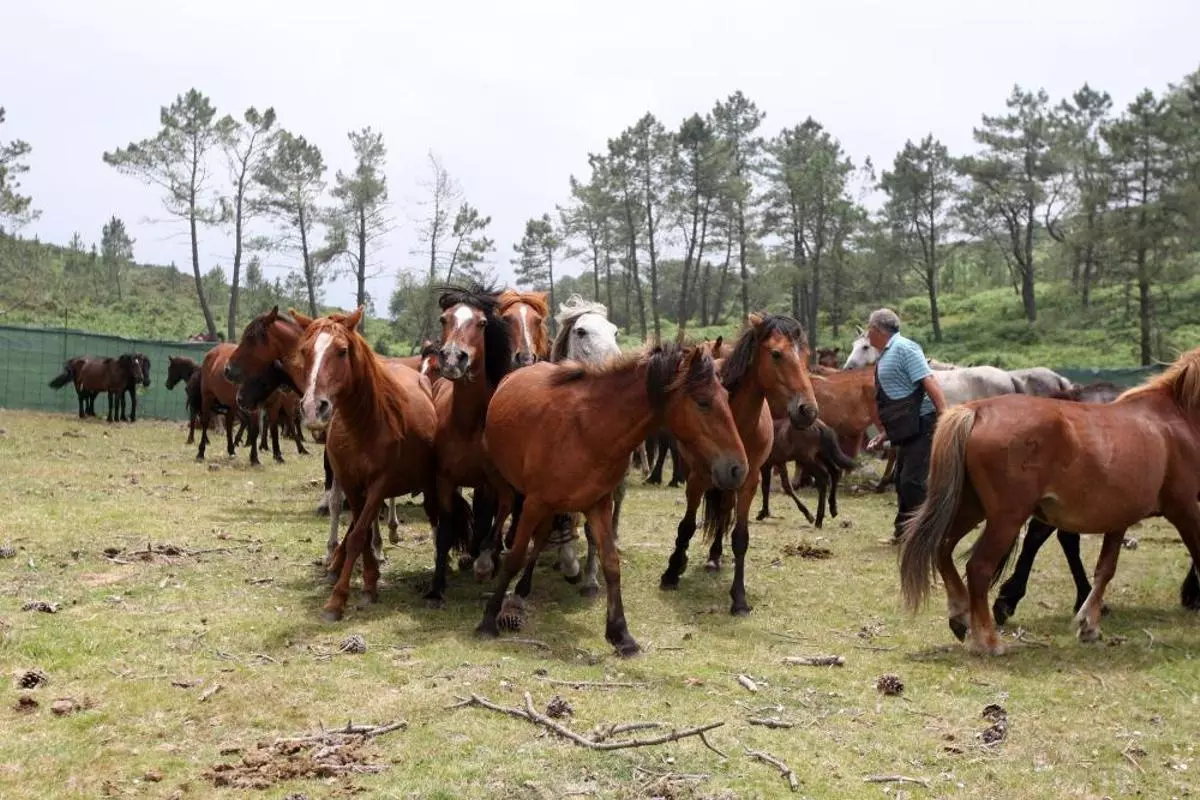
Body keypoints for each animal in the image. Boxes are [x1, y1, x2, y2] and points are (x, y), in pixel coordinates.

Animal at [284, 307, 438, 621]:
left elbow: (358, 535)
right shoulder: (351, 483)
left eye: (342, 351)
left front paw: (338, 599)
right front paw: (368, 581)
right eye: (305, 351)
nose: (313, 408)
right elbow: (361, 531)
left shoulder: (379, 483)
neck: (364, 425)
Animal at [476, 341, 749, 656]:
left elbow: (610, 563)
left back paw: (522, 590)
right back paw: (487, 564)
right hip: (506, 482)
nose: (738, 469)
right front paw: (488, 619)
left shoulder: (598, 504)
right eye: (703, 402)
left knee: (542, 535)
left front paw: (621, 633)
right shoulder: (535, 502)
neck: (588, 430)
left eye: (727, 397)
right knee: (507, 511)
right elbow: (515, 557)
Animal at [659, 313, 820, 615]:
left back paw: (715, 555)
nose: (808, 411)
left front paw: (739, 598)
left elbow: (740, 537)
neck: (736, 420)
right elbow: (686, 525)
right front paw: (672, 572)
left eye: (806, 356)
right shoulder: (698, 476)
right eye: (776, 354)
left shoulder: (749, 479)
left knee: (724, 510)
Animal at [898, 347, 1200, 655]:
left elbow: (1105, 569)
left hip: (971, 508)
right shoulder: (1186, 508)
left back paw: (961, 616)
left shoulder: (1120, 519)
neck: (1175, 418)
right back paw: (989, 641)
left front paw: (1089, 625)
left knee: (943, 548)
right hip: (1006, 517)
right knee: (978, 568)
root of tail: (977, 411)